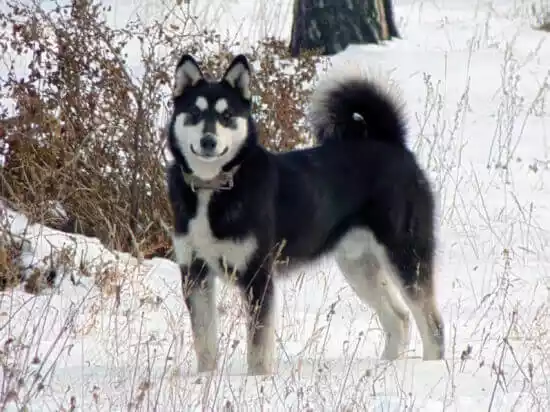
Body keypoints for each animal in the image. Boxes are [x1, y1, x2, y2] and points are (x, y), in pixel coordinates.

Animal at [166, 53, 446, 374]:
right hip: (359, 265)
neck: (215, 188)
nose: (209, 141)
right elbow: (205, 343)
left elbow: (258, 348)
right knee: (398, 318)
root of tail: (391, 143)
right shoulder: (194, 273)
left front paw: (256, 380)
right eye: (194, 113)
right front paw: (205, 379)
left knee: (433, 325)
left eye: (227, 116)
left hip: (405, 256)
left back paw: (431, 369)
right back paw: (383, 367)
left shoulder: (258, 275)